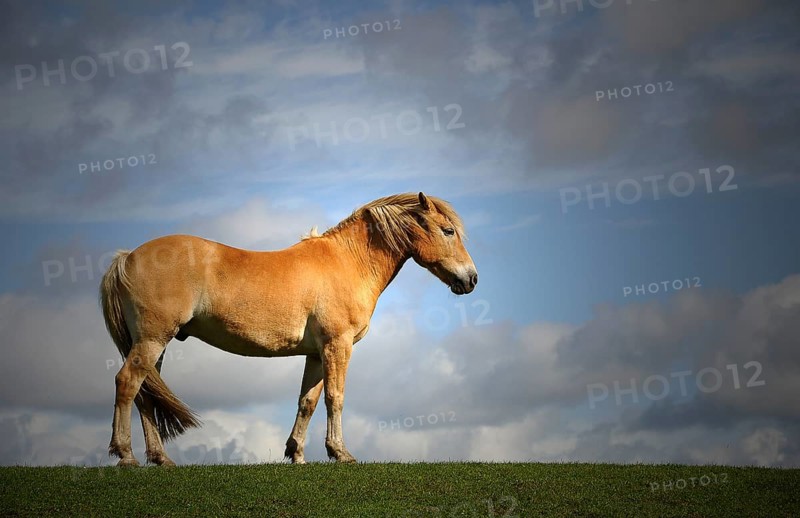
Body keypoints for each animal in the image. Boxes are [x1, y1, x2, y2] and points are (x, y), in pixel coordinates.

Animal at [100, 192, 478, 466]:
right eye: (448, 231)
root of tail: (127, 257)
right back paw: (127, 456)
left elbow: (307, 401)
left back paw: (160, 458)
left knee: (146, 393)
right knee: (128, 382)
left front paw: (296, 454)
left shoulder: (316, 353)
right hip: (153, 338)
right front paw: (341, 453)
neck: (347, 262)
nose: (471, 279)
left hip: (155, 343)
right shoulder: (337, 345)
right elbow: (335, 397)